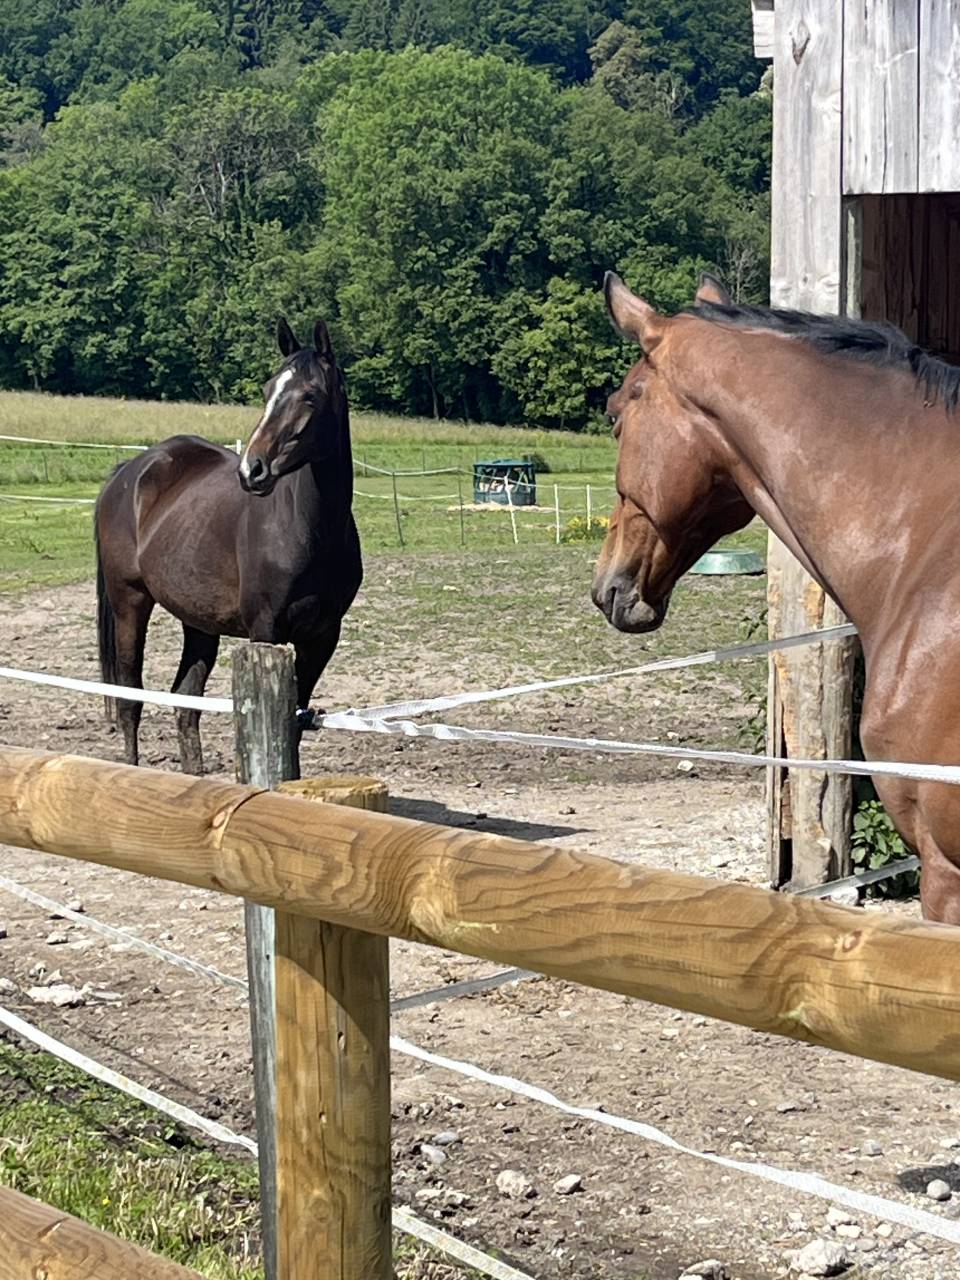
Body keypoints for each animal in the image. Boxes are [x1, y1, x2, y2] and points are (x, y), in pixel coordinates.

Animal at [94, 317, 362, 775]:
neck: (310, 529)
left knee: (185, 705)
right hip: (130, 602)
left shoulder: (323, 635)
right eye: (268, 389)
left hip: (199, 621)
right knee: (131, 699)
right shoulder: (266, 630)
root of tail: (129, 472)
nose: (252, 470)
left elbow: (293, 724)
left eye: (310, 395)